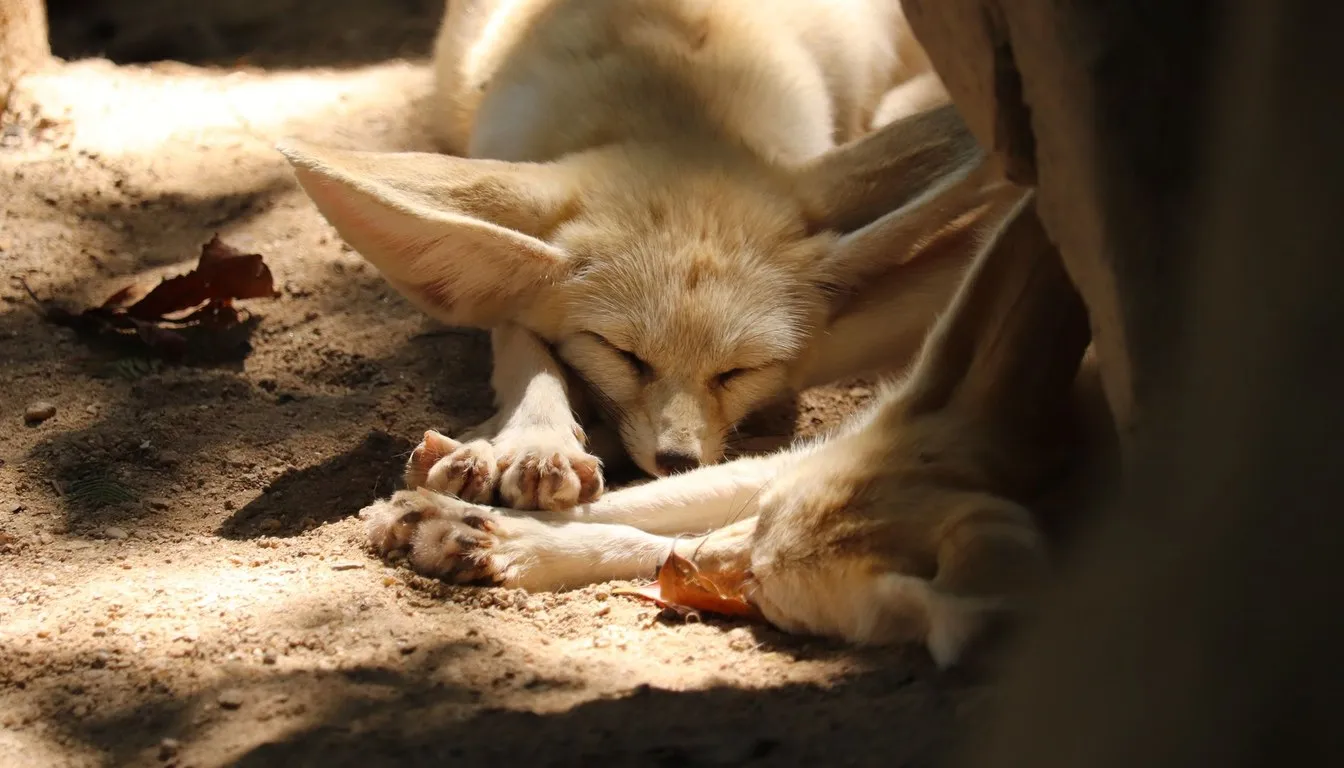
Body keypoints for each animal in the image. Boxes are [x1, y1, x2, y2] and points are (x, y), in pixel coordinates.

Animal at [279, 0, 1021, 513]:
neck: (673, 108)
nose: (678, 460)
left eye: (741, 371)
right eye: (623, 355)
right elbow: (520, 338)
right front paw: (535, 438)